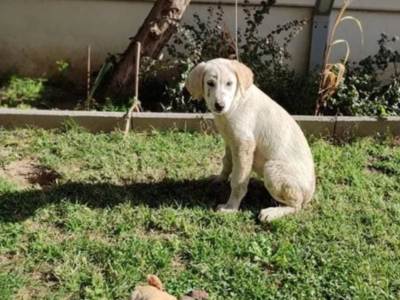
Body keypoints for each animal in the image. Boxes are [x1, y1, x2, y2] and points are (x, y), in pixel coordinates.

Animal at [185, 59, 316, 223]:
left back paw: (272, 212)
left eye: (229, 83)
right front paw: (220, 178)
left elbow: (238, 180)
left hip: (273, 170)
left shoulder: (244, 144)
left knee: (296, 205)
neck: (235, 104)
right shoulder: (230, 141)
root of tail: (310, 194)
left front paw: (231, 208)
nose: (219, 106)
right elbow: (227, 162)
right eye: (210, 83)